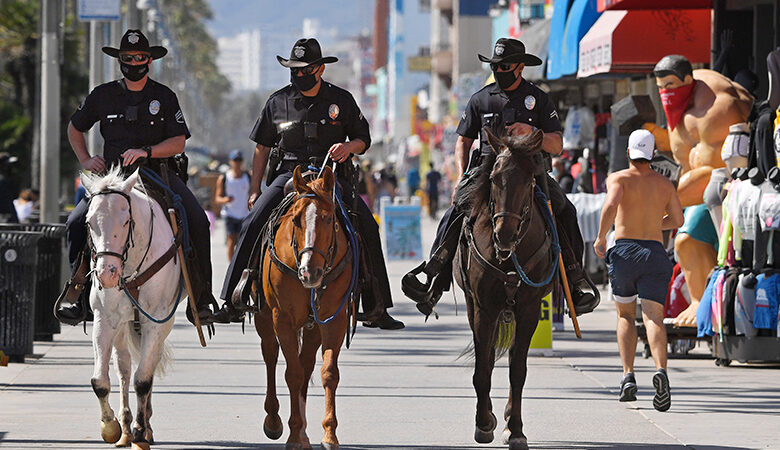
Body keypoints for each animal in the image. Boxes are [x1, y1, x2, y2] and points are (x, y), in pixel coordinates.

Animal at [81, 166, 181, 450]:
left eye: (126, 221)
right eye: (89, 223)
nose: (107, 274)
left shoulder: (156, 321)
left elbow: (143, 379)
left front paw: (140, 431)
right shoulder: (104, 319)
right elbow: (100, 381)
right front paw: (111, 427)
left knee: (146, 367)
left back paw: (142, 427)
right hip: (123, 325)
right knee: (124, 367)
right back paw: (125, 428)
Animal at [254, 166, 354, 450]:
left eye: (328, 218)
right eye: (296, 220)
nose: (310, 272)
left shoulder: (334, 320)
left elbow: (328, 373)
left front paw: (329, 434)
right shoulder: (282, 319)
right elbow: (292, 374)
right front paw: (292, 433)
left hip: (312, 328)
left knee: (306, 362)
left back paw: (305, 433)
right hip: (264, 319)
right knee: (270, 355)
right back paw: (274, 420)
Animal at [454, 128, 556, 448]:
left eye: (528, 178)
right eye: (494, 177)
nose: (504, 234)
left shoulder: (529, 310)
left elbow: (517, 370)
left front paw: (517, 429)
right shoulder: (483, 308)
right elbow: (482, 369)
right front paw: (483, 423)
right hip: (474, 307)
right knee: (486, 358)